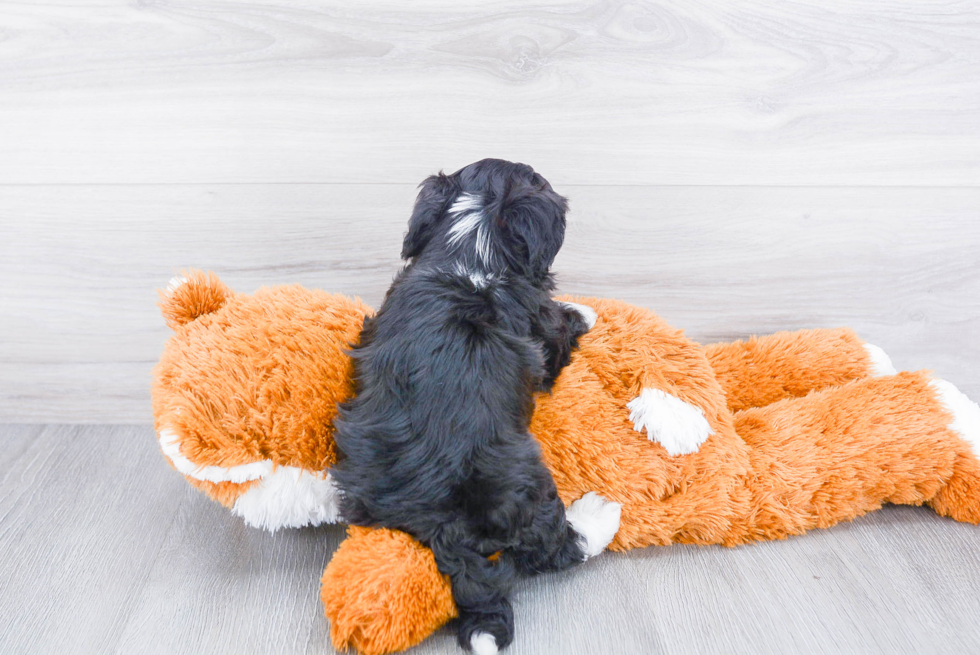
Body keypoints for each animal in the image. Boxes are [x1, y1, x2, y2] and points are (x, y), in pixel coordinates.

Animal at [334, 160, 616, 655]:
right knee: (553, 548)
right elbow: (560, 327)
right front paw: (584, 311)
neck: (470, 245)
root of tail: (443, 520)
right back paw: (598, 516)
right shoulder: (542, 334)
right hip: (531, 487)